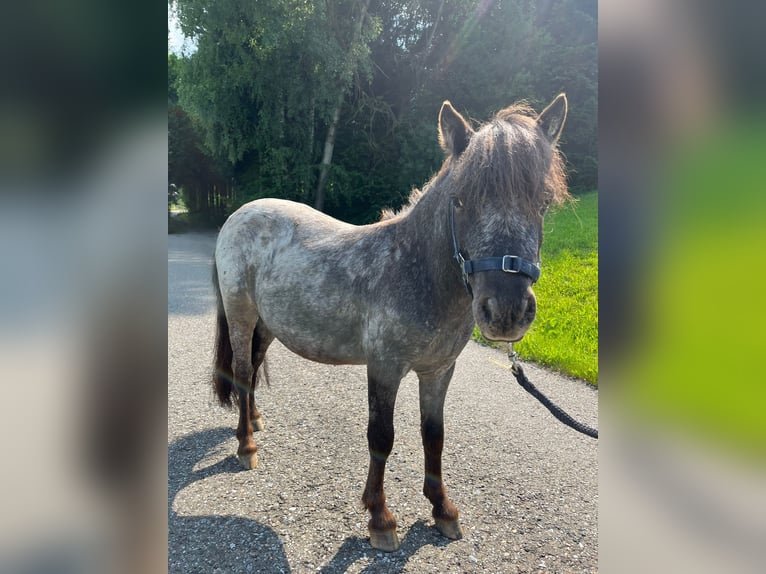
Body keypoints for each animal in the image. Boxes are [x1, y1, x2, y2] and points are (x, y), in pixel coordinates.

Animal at [210, 95, 568, 552]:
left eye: (543, 201)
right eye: (460, 200)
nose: (506, 311)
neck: (414, 270)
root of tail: (239, 214)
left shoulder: (439, 371)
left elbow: (434, 435)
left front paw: (442, 510)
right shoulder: (384, 367)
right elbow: (381, 436)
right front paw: (380, 517)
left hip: (268, 325)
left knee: (254, 370)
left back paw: (254, 420)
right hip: (241, 315)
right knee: (240, 372)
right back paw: (246, 446)